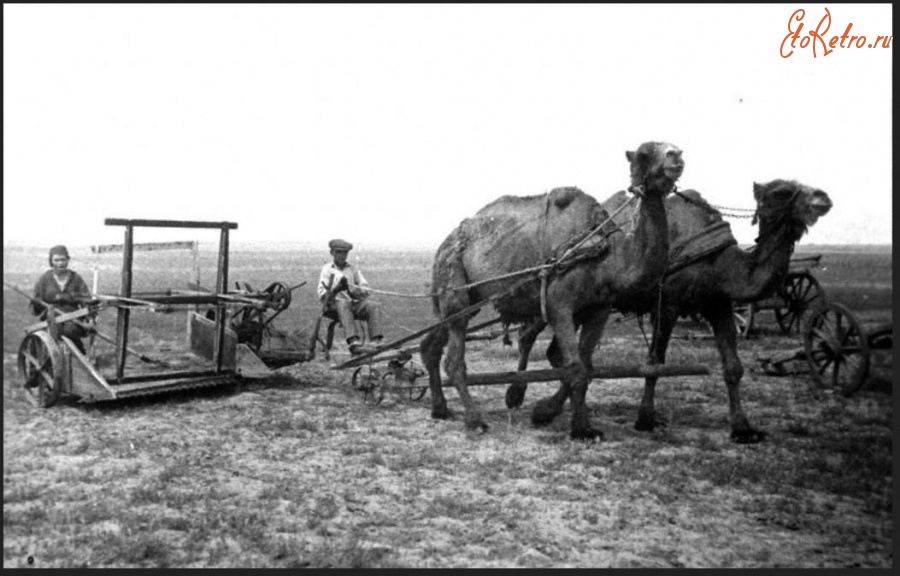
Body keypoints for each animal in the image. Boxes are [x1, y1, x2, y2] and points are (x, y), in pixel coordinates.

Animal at [420, 142, 684, 438]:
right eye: (645, 154)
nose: (676, 155)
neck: (606, 255)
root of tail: (443, 245)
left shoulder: (599, 309)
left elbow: (586, 367)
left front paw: (546, 412)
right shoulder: (560, 304)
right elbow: (575, 367)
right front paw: (578, 427)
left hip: (464, 297)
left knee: (431, 344)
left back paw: (440, 409)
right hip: (454, 278)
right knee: (454, 358)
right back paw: (475, 420)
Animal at [502, 180, 832, 446]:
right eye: (782, 191)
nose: (823, 198)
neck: (719, 262)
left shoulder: (719, 303)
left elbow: (733, 367)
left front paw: (743, 429)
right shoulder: (669, 302)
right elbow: (655, 363)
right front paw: (645, 419)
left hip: (587, 304)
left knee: (560, 353)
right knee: (529, 335)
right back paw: (517, 396)